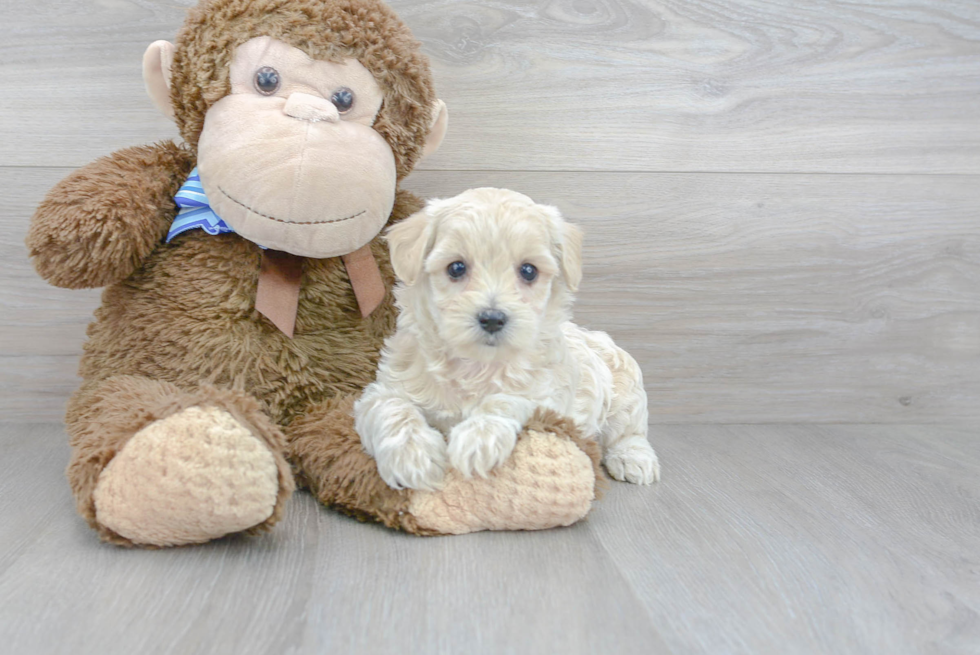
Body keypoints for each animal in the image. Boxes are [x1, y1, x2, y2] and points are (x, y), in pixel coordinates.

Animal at [352, 187, 660, 490]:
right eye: (456, 268)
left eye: (529, 270)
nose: (492, 318)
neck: (476, 365)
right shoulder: (386, 387)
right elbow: (391, 408)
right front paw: (412, 456)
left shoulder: (548, 394)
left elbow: (507, 399)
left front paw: (478, 438)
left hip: (627, 392)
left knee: (628, 431)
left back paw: (633, 459)